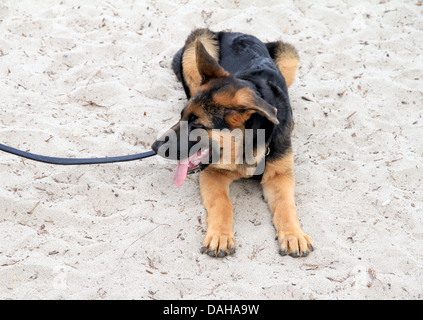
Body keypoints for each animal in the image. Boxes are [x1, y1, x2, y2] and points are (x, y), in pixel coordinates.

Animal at [151, 28, 314, 258]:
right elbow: (222, 203)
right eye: (181, 116)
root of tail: (235, 31)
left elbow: (285, 205)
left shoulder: (280, 175)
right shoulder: (212, 173)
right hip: (198, 41)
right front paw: (220, 235)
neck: (247, 143)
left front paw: (293, 234)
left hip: (288, 57)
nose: (154, 147)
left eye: (196, 125)